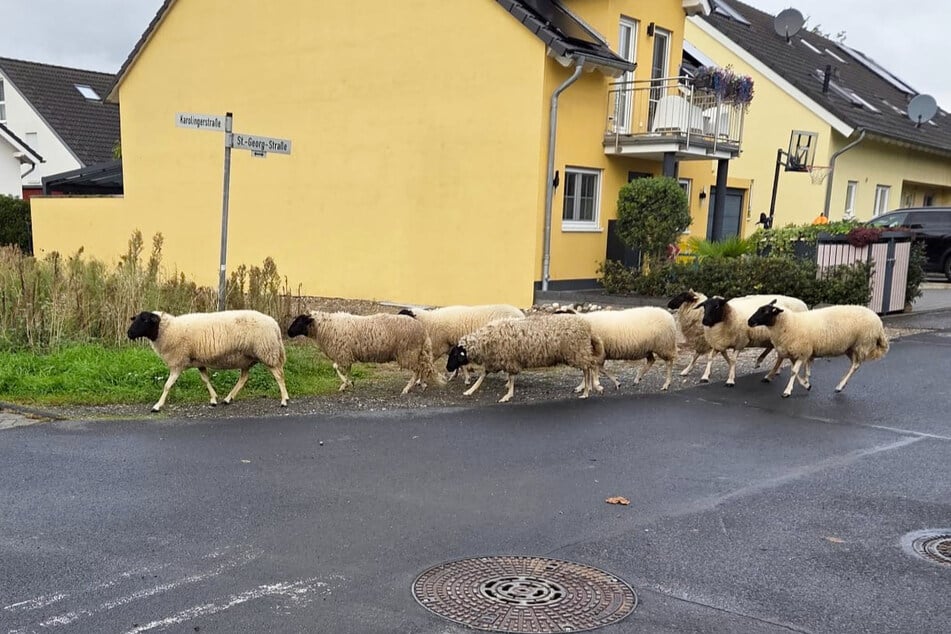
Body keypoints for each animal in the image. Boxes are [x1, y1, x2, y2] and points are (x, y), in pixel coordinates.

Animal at [127, 310, 289, 412]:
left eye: (145, 319)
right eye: (137, 318)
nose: (129, 333)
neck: (167, 330)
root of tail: (275, 324)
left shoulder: (178, 362)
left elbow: (167, 386)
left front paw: (157, 406)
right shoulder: (199, 362)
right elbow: (206, 380)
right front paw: (214, 399)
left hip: (267, 352)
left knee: (279, 376)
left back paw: (284, 400)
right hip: (247, 358)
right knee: (244, 378)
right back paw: (228, 398)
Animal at [286, 311, 445, 394]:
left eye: (299, 321)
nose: (288, 332)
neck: (324, 327)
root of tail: (423, 330)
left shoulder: (343, 354)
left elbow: (336, 367)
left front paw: (347, 383)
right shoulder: (346, 354)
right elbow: (347, 370)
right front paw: (348, 383)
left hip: (408, 352)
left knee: (418, 369)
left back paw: (407, 388)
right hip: (414, 352)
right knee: (423, 367)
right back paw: (421, 384)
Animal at [445, 314, 604, 403]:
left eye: (455, 355)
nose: (447, 368)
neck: (485, 341)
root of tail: (587, 327)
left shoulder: (509, 360)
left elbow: (511, 377)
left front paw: (507, 395)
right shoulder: (495, 360)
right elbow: (483, 375)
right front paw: (470, 390)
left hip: (576, 351)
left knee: (589, 367)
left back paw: (588, 390)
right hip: (578, 352)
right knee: (587, 367)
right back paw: (585, 387)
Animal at [747, 300, 889, 397]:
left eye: (765, 311)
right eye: (759, 309)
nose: (749, 322)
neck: (790, 323)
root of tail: (879, 322)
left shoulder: (802, 351)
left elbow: (793, 372)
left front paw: (787, 391)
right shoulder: (797, 353)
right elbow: (797, 372)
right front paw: (806, 384)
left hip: (862, 344)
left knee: (856, 366)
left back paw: (840, 386)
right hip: (850, 347)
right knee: (854, 364)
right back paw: (841, 384)